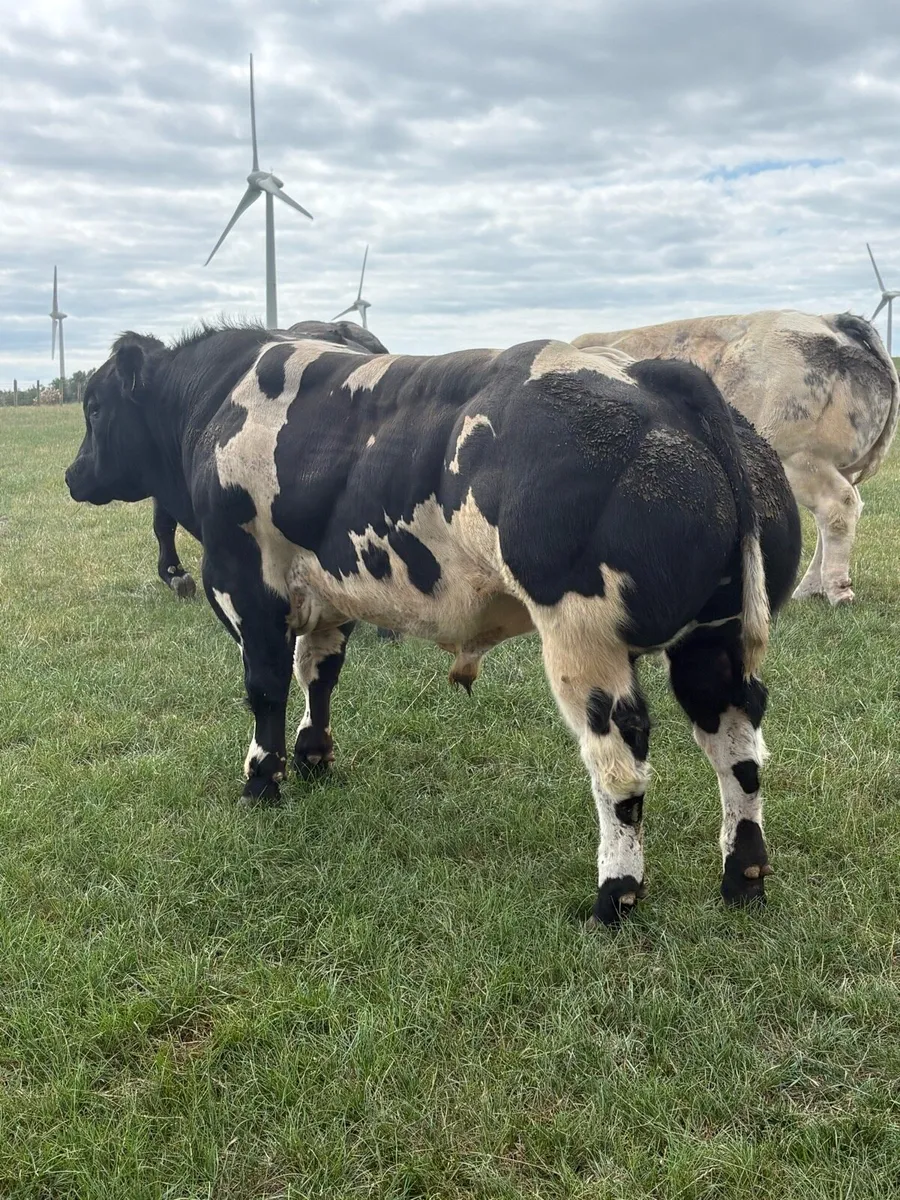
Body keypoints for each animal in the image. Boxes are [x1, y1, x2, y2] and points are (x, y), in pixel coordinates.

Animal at [65, 325, 801, 927]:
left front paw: (262, 781)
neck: (214, 401)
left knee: (620, 764)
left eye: (95, 406)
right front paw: (313, 756)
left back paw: (615, 894)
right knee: (737, 747)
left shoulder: (244, 583)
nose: (73, 476)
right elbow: (319, 673)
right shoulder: (330, 589)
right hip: (713, 642)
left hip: (584, 642)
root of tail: (651, 376)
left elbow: (265, 686)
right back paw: (743, 875)